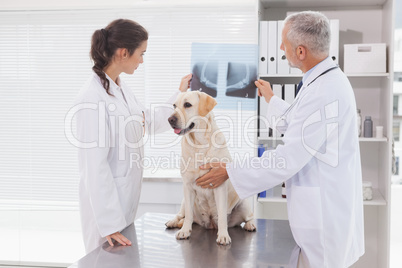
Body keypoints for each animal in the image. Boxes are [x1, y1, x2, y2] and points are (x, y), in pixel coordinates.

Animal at [165, 91, 256, 245]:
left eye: (187, 104)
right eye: (174, 106)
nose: (170, 119)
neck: (199, 144)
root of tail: (210, 224)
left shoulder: (219, 185)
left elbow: (222, 214)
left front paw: (223, 235)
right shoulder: (187, 186)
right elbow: (188, 215)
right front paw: (185, 231)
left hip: (244, 204)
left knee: (249, 217)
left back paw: (250, 225)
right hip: (184, 202)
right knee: (182, 215)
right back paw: (173, 222)